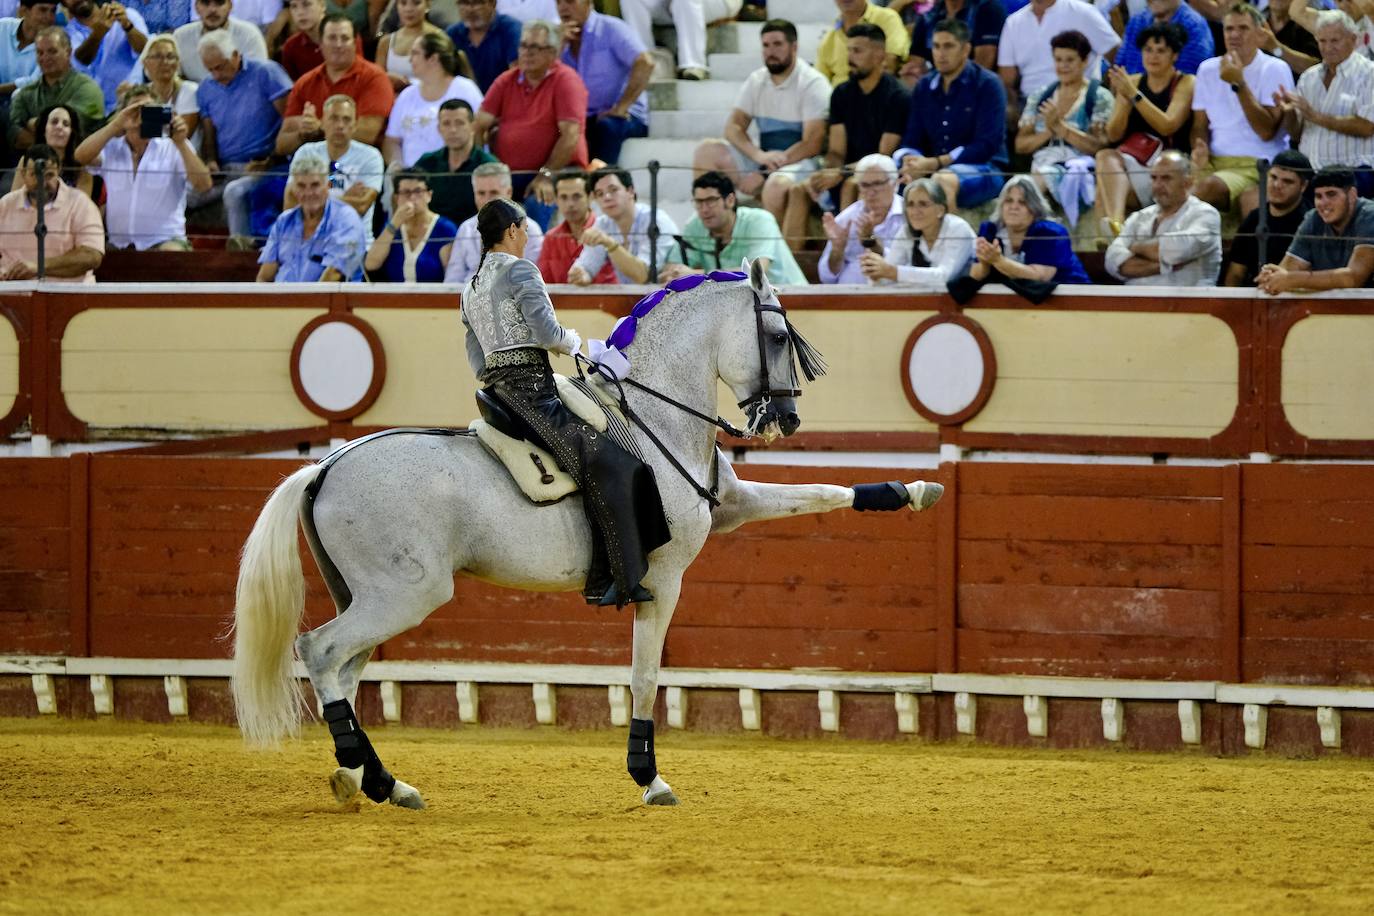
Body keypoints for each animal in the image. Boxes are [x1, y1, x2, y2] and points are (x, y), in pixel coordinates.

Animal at [233, 258, 945, 807]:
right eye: (775, 334)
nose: (787, 419)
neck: (657, 408)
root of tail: (323, 467)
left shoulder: (733, 504)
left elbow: (823, 492)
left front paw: (915, 491)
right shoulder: (664, 576)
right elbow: (646, 672)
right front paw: (649, 777)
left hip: (374, 597)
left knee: (343, 669)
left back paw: (369, 779)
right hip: (405, 595)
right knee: (319, 651)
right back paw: (375, 779)